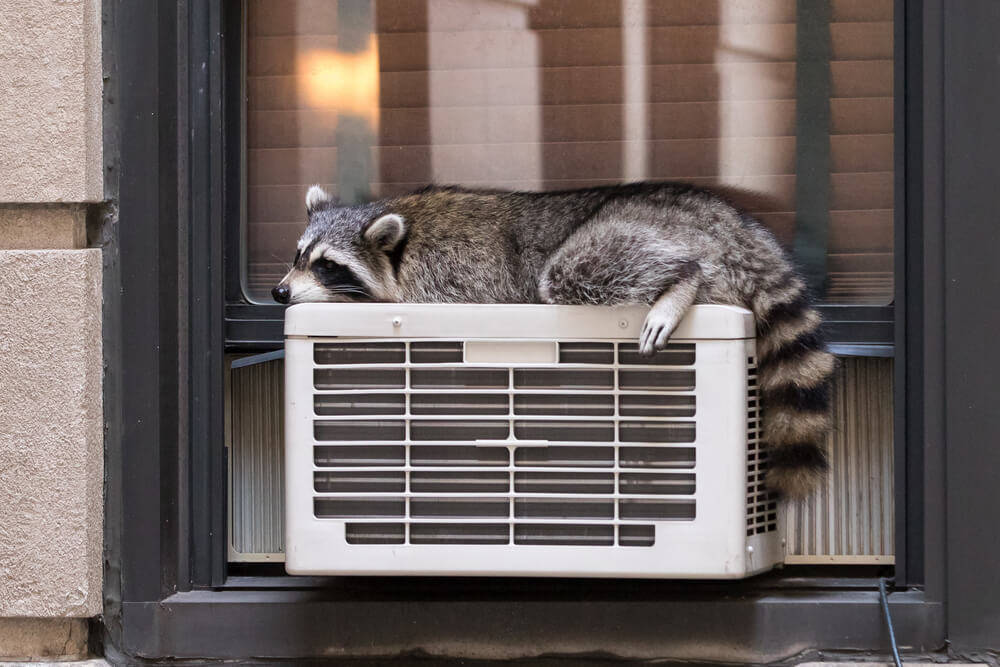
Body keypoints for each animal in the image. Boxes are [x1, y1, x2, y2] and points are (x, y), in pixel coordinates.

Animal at [274, 184, 836, 500]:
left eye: (326, 265)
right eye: (298, 255)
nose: (280, 292)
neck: (400, 238)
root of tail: (733, 225)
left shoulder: (450, 276)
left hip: (637, 234)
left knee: (575, 270)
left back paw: (681, 281)